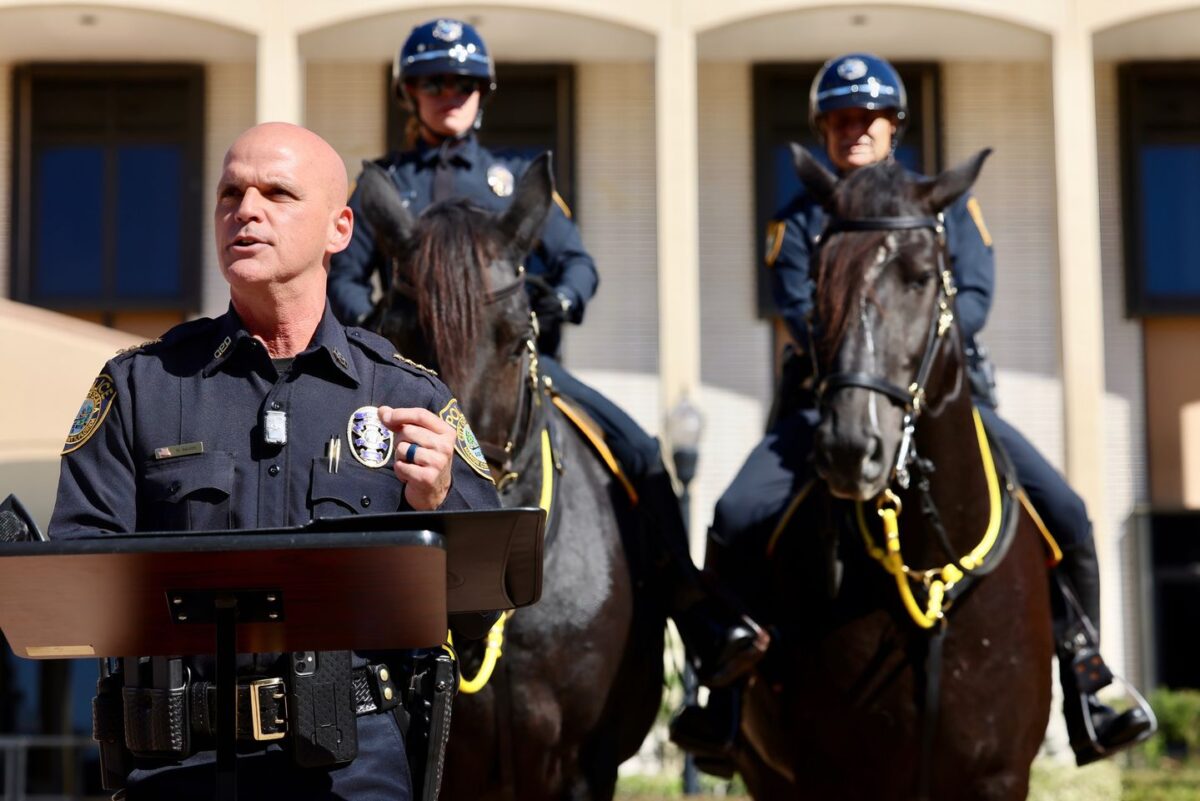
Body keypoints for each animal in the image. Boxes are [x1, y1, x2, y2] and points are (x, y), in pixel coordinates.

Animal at [715, 145, 1056, 801]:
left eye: (922, 276)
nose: (850, 445)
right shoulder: (830, 776)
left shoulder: (1000, 776)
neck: (929, 573)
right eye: (817, 279)